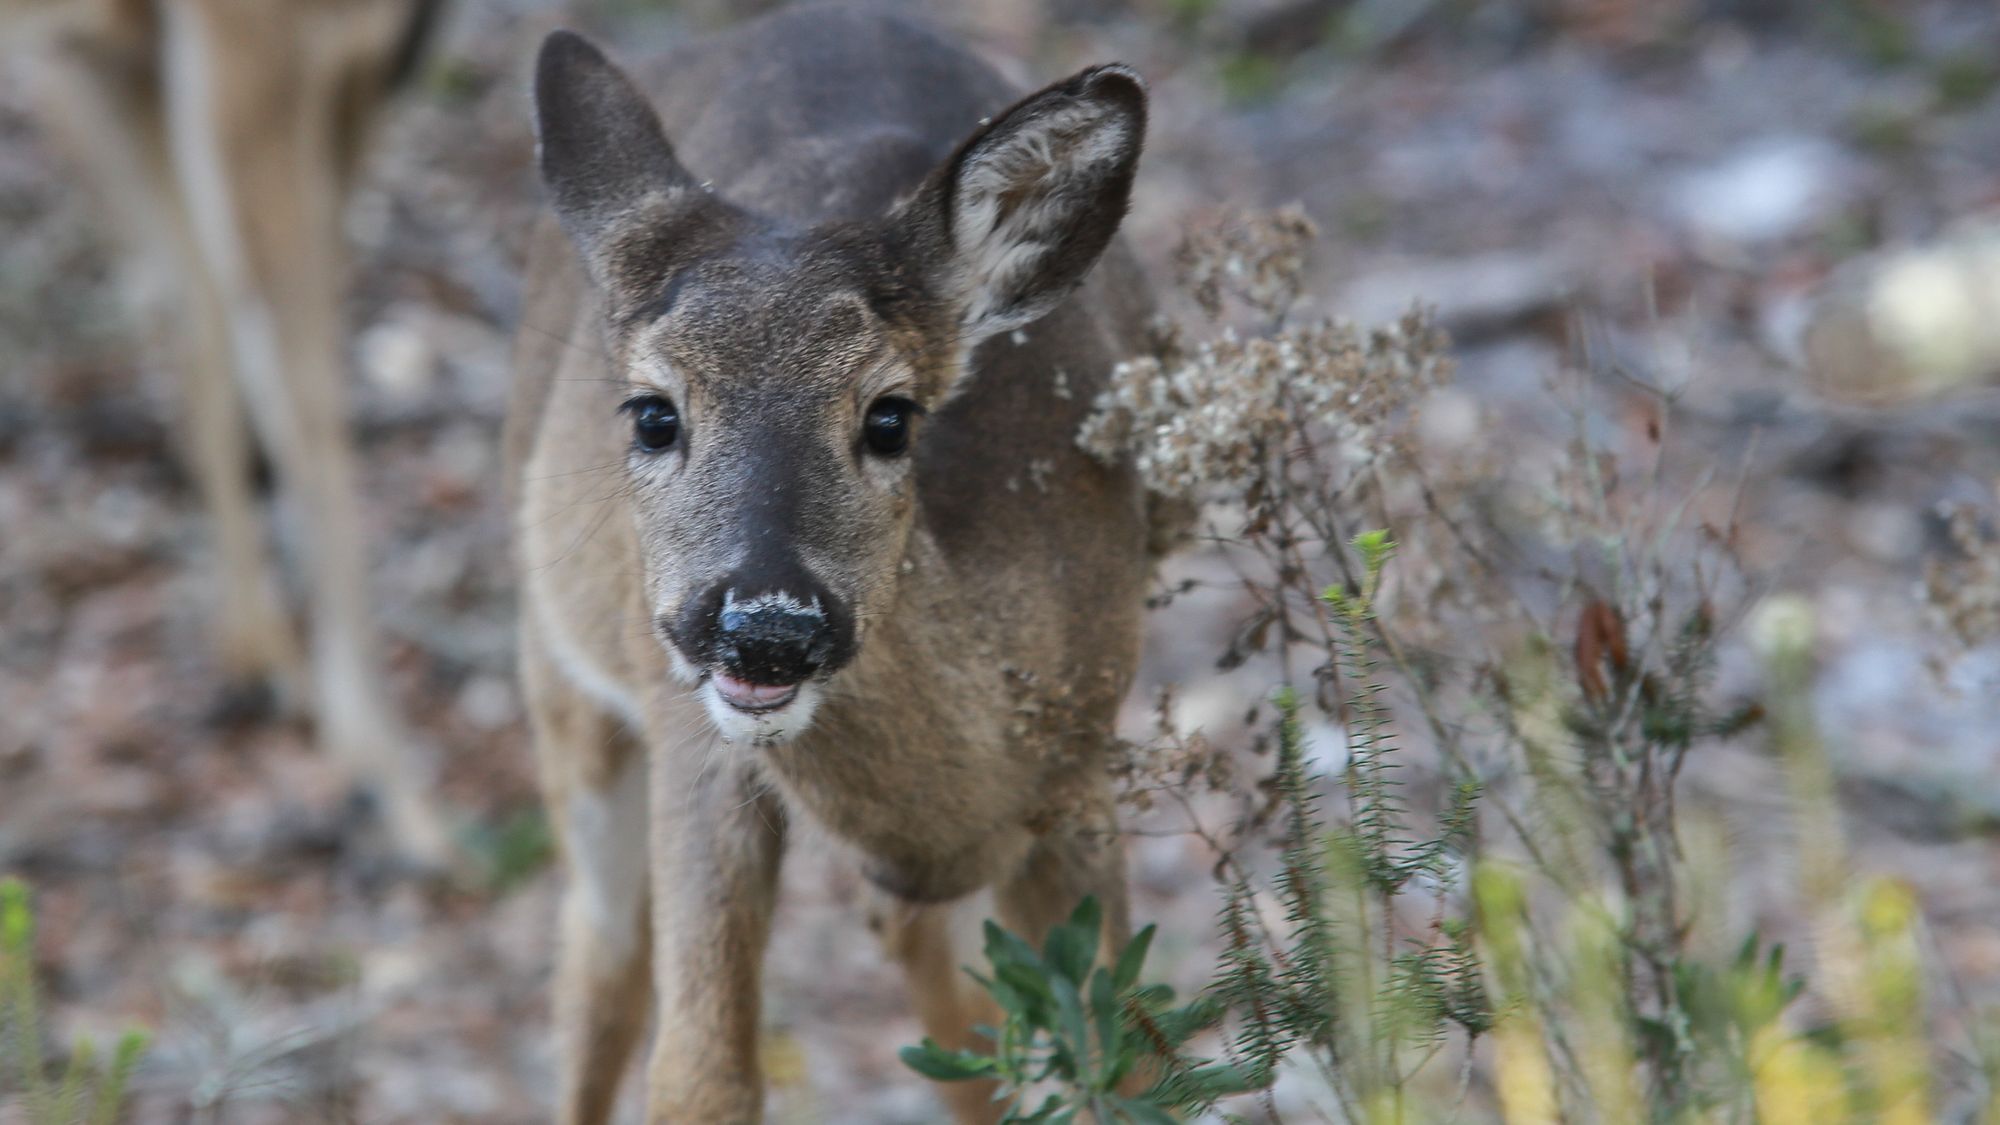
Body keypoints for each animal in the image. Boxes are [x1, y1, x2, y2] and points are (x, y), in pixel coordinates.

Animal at [6, 0, 453, 863]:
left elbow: (204, 322)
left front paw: (259, 657)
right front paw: (387, 778)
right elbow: (304, 398)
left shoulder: (108, 64)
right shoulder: (263, 42)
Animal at [507, 6, 1165, 1121]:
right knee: (600, 964)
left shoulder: (1081, 769)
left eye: (890, 417)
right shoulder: (698, 749)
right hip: (564, 673)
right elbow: (701, 1073)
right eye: (652, 413)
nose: (767, 626)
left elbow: (1129, 1060)